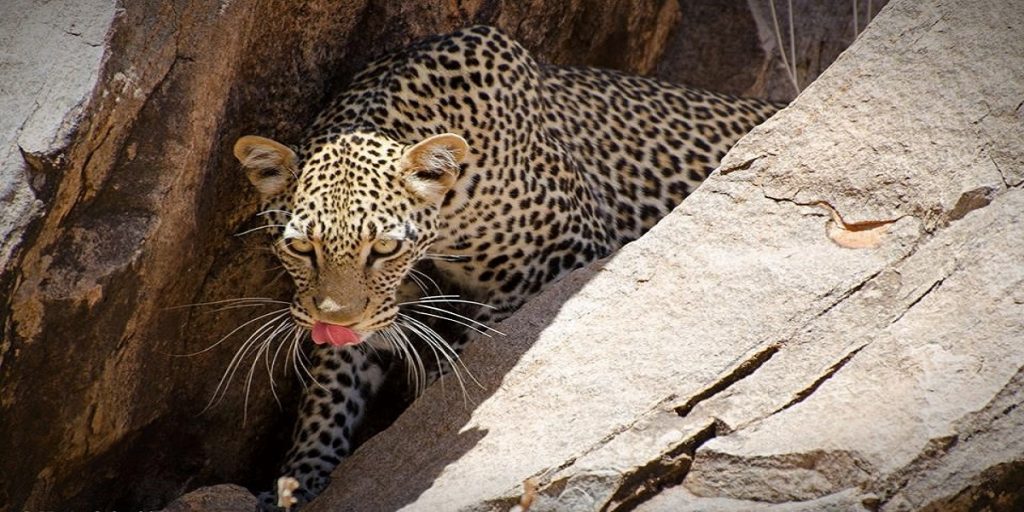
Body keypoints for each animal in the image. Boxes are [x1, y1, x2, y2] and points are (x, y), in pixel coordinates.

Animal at [228, 24, 778, 507]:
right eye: (301, 248)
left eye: (383, 248)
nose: (334, 321)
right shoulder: (376, 308)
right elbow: (332, 391)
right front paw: (300, 478)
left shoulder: (569, 255)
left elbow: (477, 347)